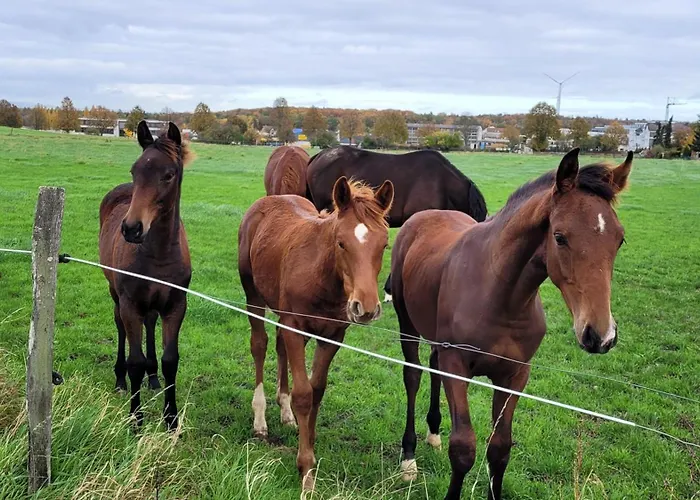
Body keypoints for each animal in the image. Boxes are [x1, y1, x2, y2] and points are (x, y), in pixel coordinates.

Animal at [98, 120, 193, 431]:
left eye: (169, 174)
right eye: (135, 170)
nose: (132, 228)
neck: (159, 254)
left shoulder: (176, 305)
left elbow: (170, 360)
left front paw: (171, 418)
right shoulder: (131, 304)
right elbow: (135, 361)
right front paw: (136, 419)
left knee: (150, 323)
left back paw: (153, 379)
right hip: (116, 295)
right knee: (119, 326)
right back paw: (120, 379)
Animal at [238, 177, 394, 491]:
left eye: (384, 245)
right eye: (341, 242)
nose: (366, 308)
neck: (322, 275)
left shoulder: (333, 336)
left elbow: (317, 390)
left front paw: (308, 438)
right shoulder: (296, 328)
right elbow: (303, 394)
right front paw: (306, 470)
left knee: (279, 345)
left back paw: (285, 413)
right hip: (253, 295)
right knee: (260, 344)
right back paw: (260, 419)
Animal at [391, 148, 633, 499]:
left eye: (620, 240)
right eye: (560, 237)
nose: (600, 335)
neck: (501, 297)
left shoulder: (515, 375)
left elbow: (500, 449)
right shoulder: (457, 365)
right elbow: (463, 448)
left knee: (432, 367)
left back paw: (433, 431)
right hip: (407, 324)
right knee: (413, 376)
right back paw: (408, 457)